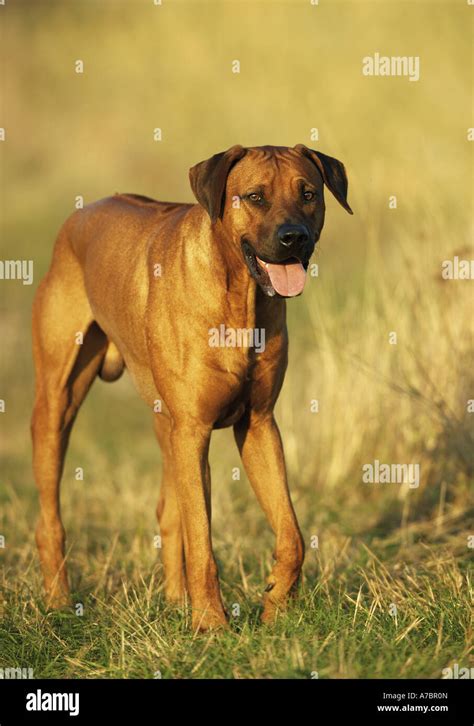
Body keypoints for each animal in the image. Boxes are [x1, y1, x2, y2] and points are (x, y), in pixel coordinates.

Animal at [31, 144, 352, 632]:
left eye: (309, 194)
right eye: (255, 196)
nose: (293, 237)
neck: (240, 299)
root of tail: (82, 213)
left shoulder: (258, 425)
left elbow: (291, 533)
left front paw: (276, 606)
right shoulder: (194, 429)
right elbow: (202, 542)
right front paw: (213, 625)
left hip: (167, 424)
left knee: (168, 513)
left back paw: (175, 603)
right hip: (58, 403)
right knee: (51, 518)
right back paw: (59, 603)